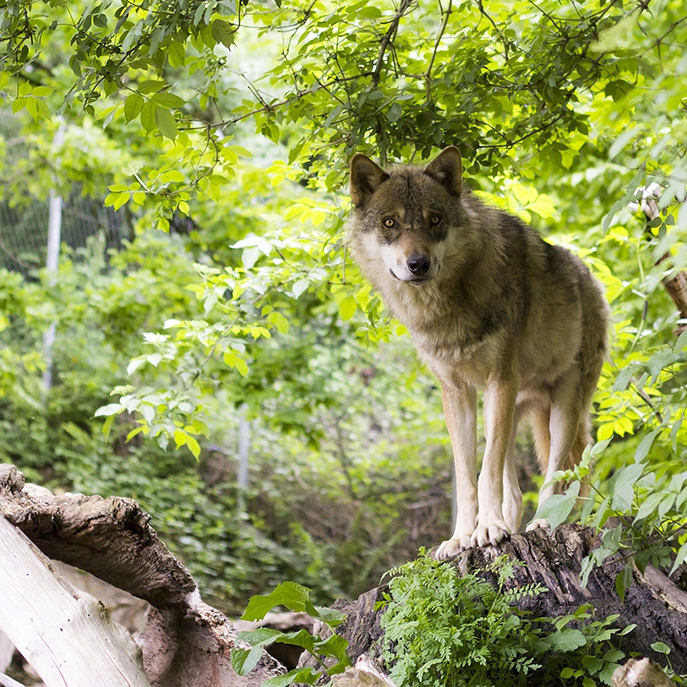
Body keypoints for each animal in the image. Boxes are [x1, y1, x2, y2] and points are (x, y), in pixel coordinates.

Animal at [350, 146, 608, 560]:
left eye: (434, 219)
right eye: (390, 223)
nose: (418, 264)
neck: (447, 307)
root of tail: (591, 278)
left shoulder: (498, 381)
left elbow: (485, 472)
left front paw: (486, 529)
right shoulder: (457, 393)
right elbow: (467, 475)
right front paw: (460, 538)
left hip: (561, 409)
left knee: (560, 470)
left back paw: (548, 522)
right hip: (514, 409)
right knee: (517, 488)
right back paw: (519, 524)